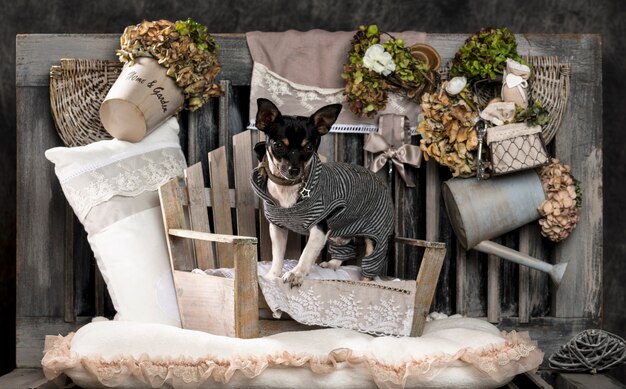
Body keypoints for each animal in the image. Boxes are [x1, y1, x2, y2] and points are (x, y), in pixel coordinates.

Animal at [250, 98, 390, 286]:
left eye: (308, 147)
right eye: (278, 145)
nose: (294, 170)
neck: (287, 187)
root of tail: (380, 180)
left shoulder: (319, 229)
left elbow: (306, 254)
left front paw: (296, 274)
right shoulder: (278, 228)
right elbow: (277, 256)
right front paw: (273, 276)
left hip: (374, 236)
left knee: (372, 260)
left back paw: (366, 281)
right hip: (339, 231)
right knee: (347, 248)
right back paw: (333, 264)